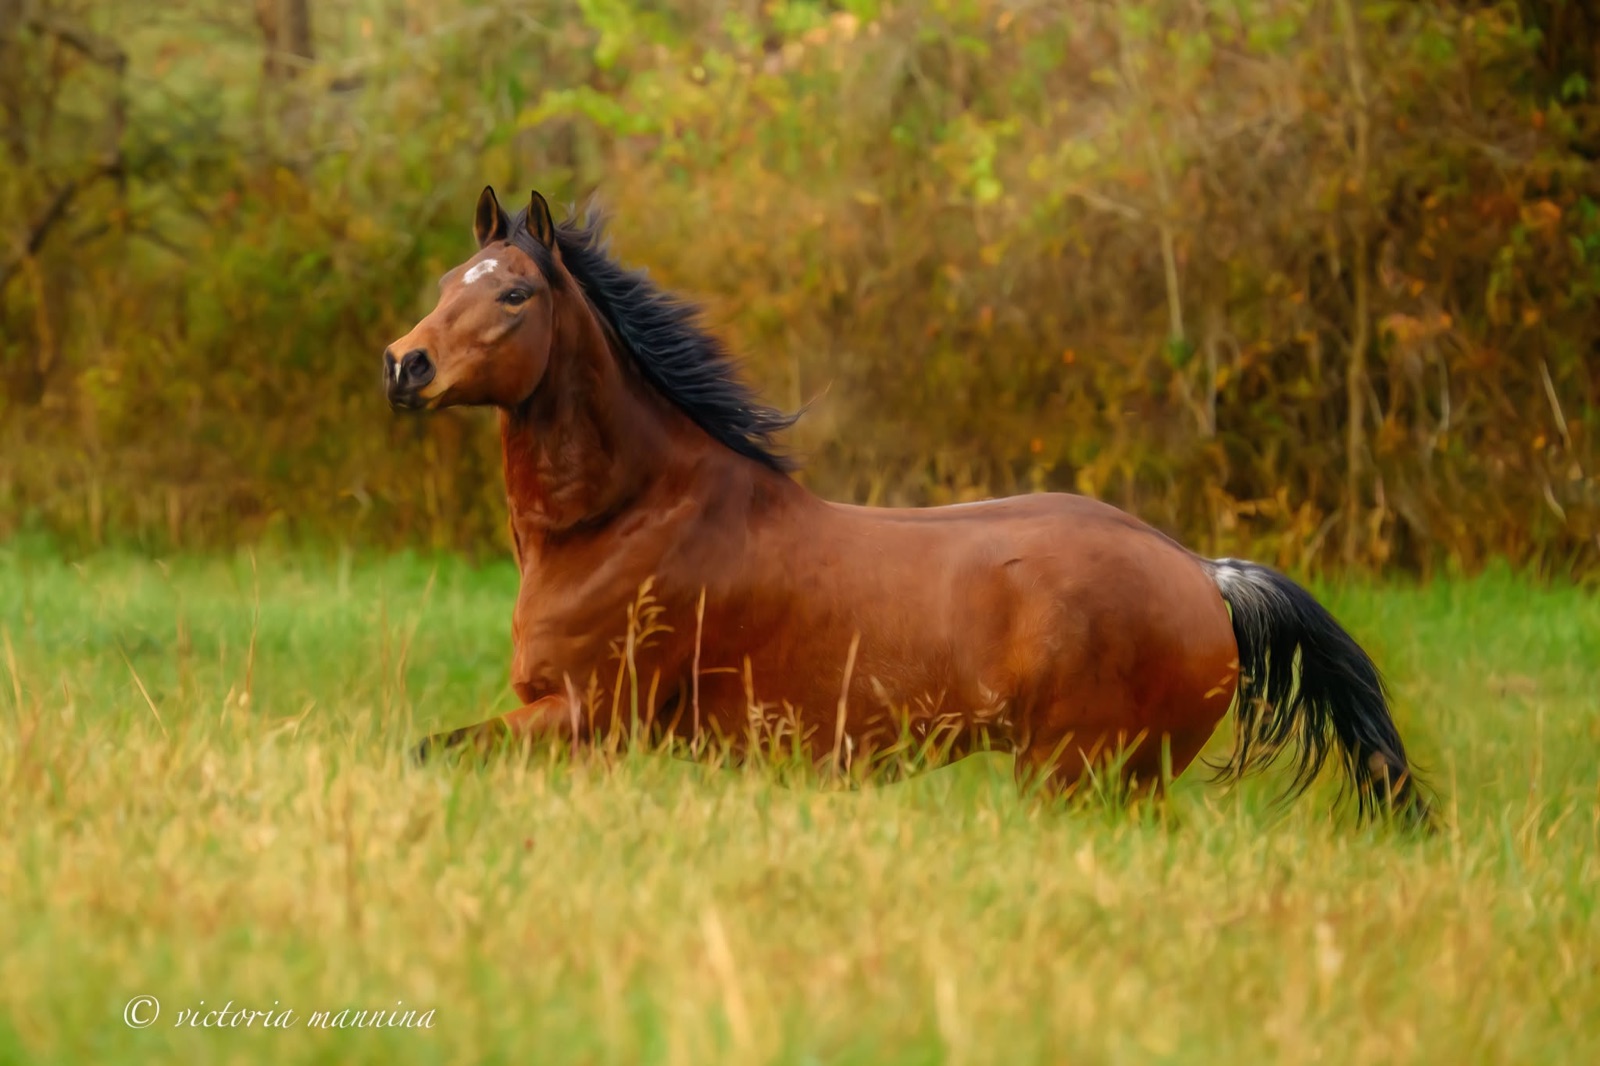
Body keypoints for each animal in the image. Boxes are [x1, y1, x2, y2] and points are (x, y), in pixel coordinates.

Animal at [383, 185, 1432, 825]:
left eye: (515, 295)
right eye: (444, 284)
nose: (405, 366)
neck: (629, 516)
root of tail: (1205, 576)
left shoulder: (587, 718)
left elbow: (426, 751)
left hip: (1079, 778)